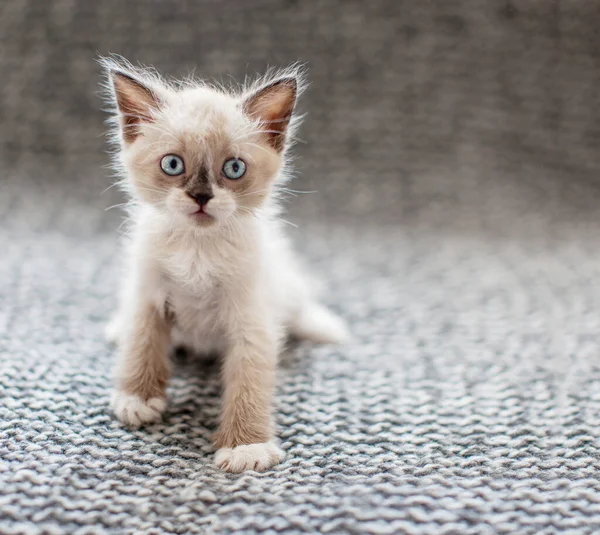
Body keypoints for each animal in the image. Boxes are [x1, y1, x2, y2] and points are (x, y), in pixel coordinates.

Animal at [101, 55, 346, 474]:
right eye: (172, 164)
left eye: (233, 169)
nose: (200, 197)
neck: (198, 249)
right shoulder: (148, 292)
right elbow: (142, 341)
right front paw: (136, 398)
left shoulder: (252, 319)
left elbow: (248, 381)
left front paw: (246, 447)